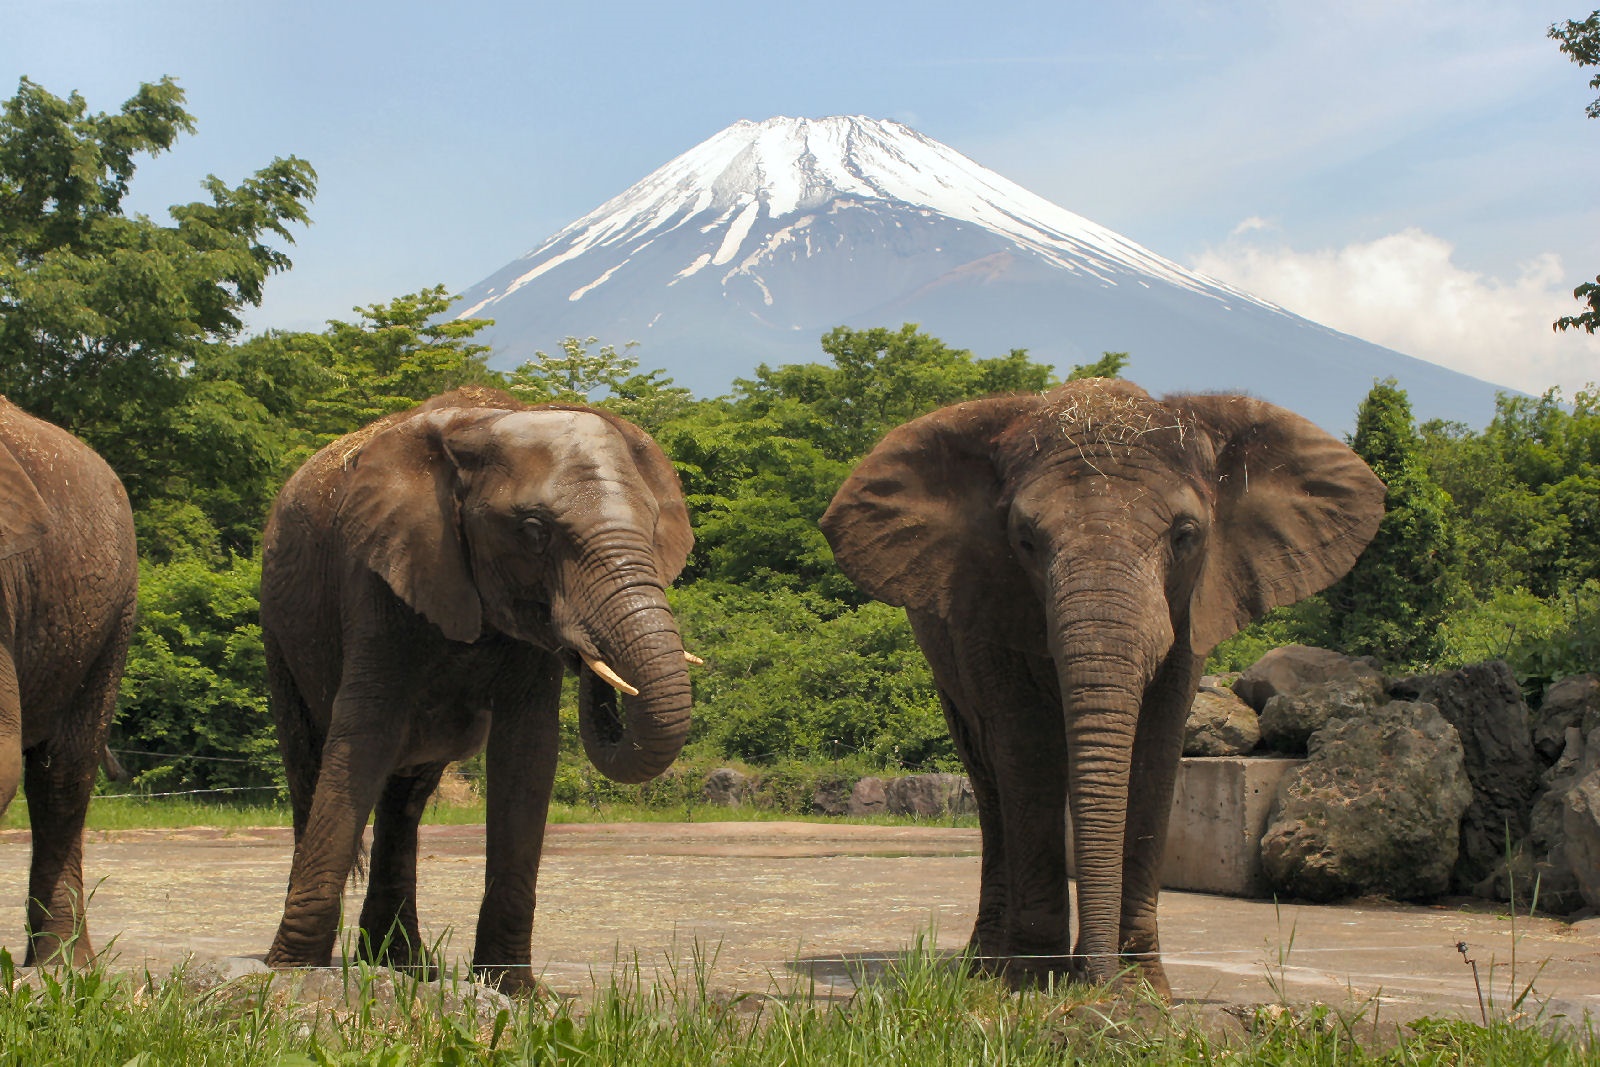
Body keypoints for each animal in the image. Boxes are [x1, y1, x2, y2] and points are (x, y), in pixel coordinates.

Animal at [260, 385, 694, 991]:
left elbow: (527, 752)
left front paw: (515, 992)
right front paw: (291, 976)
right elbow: (366, 733)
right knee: (308, 765)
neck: (487, 425)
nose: (588, 657)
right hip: (279, 624)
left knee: (405, 798)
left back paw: (404, 965)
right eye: (534, 532)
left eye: (654, 526)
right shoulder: (378, 569)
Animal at [819, 375, 1382, 991]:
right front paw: (1034, 987)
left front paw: (1141, 992)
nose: (1096, 985)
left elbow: (1155, 752)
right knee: (989, 776)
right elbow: (1028, 749)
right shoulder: (987, 601)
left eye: (1186, 536)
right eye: (1025, 539)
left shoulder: (1191, 612)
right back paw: (986, 970)